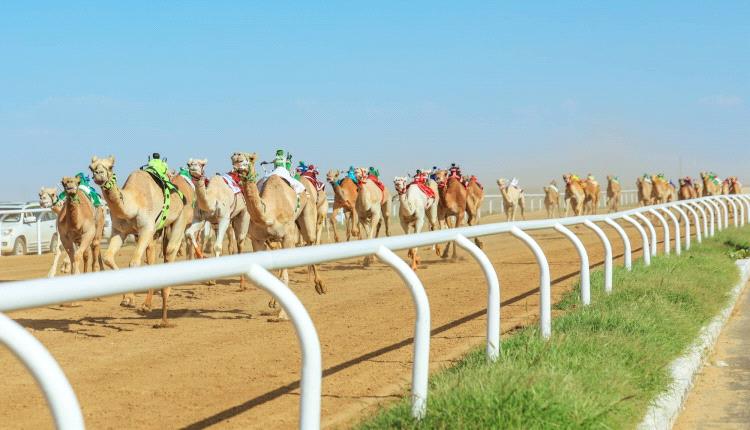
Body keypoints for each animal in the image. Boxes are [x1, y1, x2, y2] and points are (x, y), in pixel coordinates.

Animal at [89, 155, 192, 326]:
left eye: (110, 166)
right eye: (91, 167)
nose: (99, 174)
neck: (134, 203)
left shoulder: (146, 229)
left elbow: (134, 263)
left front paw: (130, 298)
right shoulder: (119, 232)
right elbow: (108, 258)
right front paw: (127, 299)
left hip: (181, 217)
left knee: (170, 251)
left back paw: (164, 307)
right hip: (159, 232)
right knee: (153, 259)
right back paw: (147, 305)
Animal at [239, 154, 324, 320]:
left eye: (250, 158)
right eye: (233, 156)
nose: (238, 160)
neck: (269, 213)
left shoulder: (288, 237)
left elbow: (284, 276)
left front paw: (282, 315)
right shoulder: (258, 239)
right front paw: (275, 303)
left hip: (309, 212)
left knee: (311, 241)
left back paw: (320, 285)